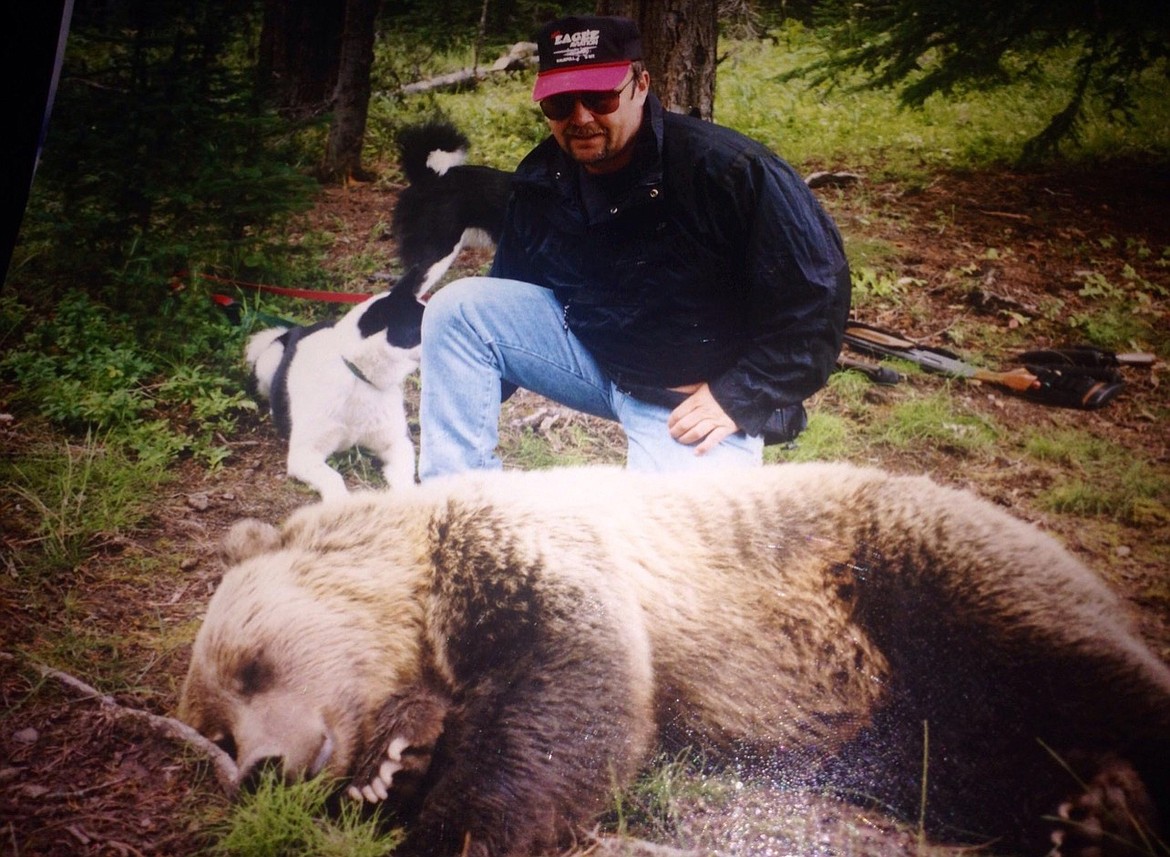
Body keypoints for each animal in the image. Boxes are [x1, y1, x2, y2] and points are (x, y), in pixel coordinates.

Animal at [180, 461, 1170, 857]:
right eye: (216, 727)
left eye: (253, 664)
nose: (263, 764)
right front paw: (392, 765)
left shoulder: (535, 553)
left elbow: (569, 698)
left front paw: (449, 828)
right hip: (911, 719)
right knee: (973, 761)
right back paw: (1092, 812)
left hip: (909, 569)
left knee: (1079, 664)